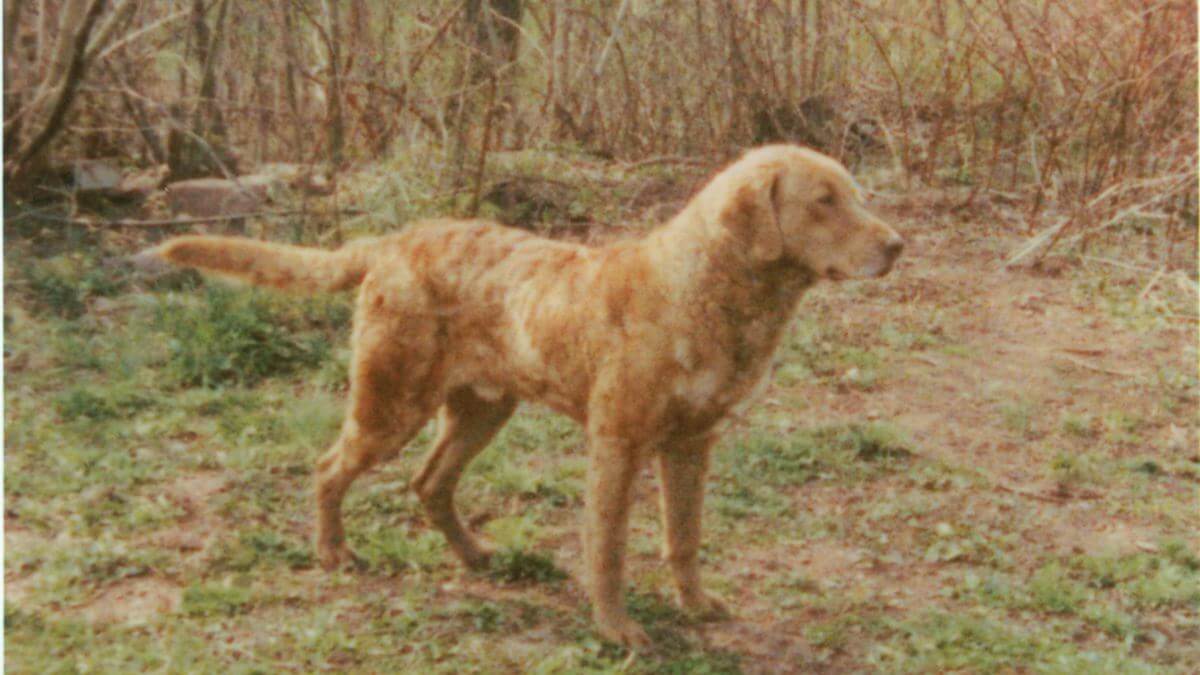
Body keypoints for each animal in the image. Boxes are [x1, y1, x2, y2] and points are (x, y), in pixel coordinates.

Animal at [150, 144, 902, 643]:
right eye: (824, 201)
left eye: (858, 194)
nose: (897, 244)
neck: (707, 292)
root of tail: (393, 240)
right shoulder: (618, 441)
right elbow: (608, 548)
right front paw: (619, 631)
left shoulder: (693, 443)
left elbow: (682, 537)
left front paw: (696, 604)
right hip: (390, 404)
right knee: (329, 469)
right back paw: (334, 553)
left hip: (482, 410)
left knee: (428, 482)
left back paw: (477, 556)